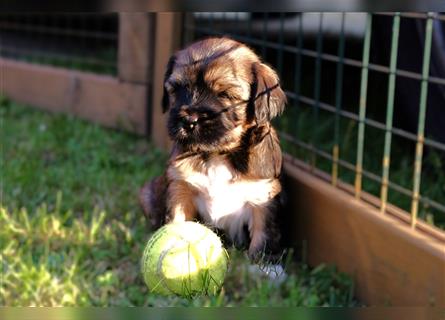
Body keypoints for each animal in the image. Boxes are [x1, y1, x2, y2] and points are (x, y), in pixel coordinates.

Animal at [139, 37, 286, 262]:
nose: (189, 120)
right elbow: (177, 221)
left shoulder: (263, 198)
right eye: (177, 89)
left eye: (225, 94)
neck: (217, 154)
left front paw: (262, 266)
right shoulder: (180, 187)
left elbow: (263, 236)